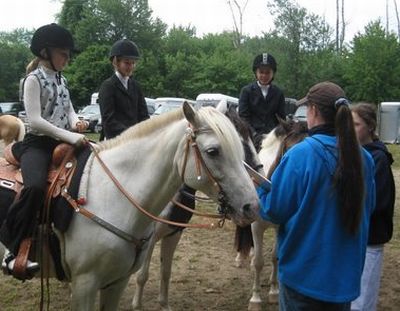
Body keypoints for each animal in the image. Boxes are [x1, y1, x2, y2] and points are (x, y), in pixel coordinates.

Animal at [0, 103, 260, 310]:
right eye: (213, 151)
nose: (252, 207)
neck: (111, 196)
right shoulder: (86, 283)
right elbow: (144, 275)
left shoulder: (118, 281)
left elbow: (164, 271)